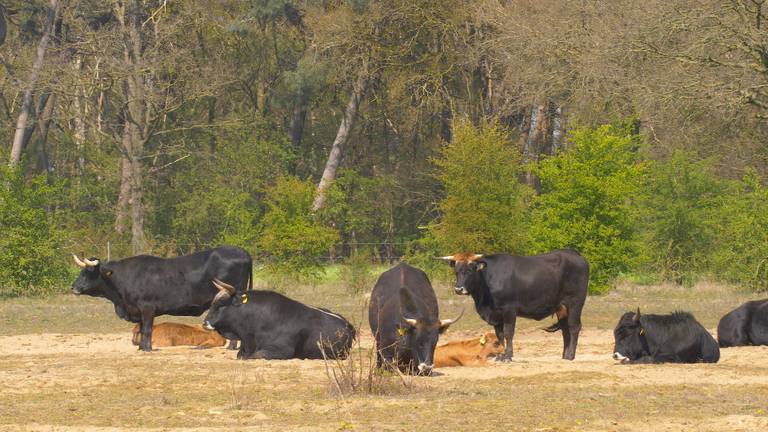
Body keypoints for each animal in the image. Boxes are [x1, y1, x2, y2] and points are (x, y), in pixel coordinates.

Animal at [72, 246, 252, 352]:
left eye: (89, 272)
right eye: (81, 272)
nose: (73, 287)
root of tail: (241, 251)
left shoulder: (147, 308)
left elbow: (147, 329)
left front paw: (147, 349)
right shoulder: (139, 310)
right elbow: (142, 328)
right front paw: (141, 348)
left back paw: (232, 347)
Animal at [438, 250, 588, 362]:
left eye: (470, 270)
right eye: (456, 271)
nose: (459, 289)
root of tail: (575, 254)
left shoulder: (509, 310)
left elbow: (508, 333)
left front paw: (508, 356)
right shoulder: (496, 316)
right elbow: (499, 335)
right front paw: (500, 354)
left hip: (575, 303)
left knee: (574, 327)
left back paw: (570, 356)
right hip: (561, 308)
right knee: (565, 330)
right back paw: (564, 356)